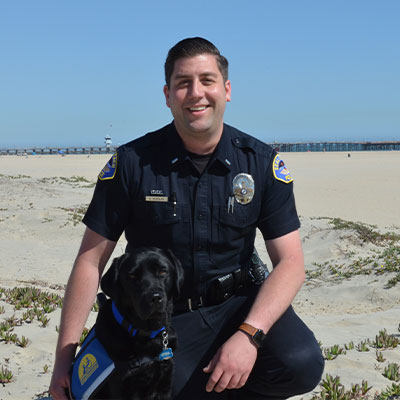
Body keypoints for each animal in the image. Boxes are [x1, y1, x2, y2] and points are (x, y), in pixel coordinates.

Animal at [86, 247, 184, 400]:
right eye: (132, 276)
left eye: (162, 271)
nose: (155, 298)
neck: (147, 335)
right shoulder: (123, 388)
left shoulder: (164, 385)